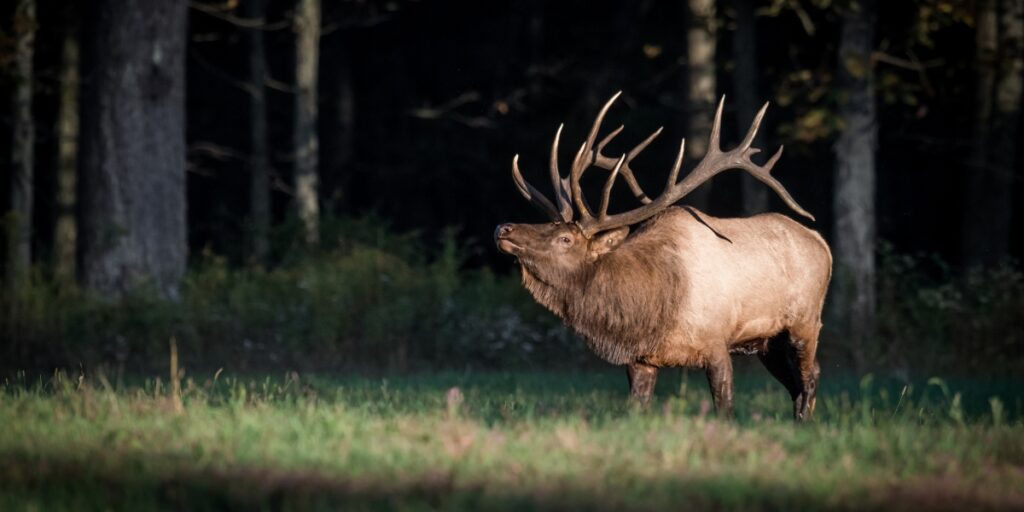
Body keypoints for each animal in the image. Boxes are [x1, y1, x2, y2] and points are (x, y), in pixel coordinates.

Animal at [494, 92, 832, 421]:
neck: (649, 311)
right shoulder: (640, 359)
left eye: (565, 238)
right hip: (768, 342)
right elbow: (636, 409)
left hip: (805, 322)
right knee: (797, 382)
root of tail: (822, 243)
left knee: (810, 376)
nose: (503, 228)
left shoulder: (716, 343)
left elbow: (724, 408)